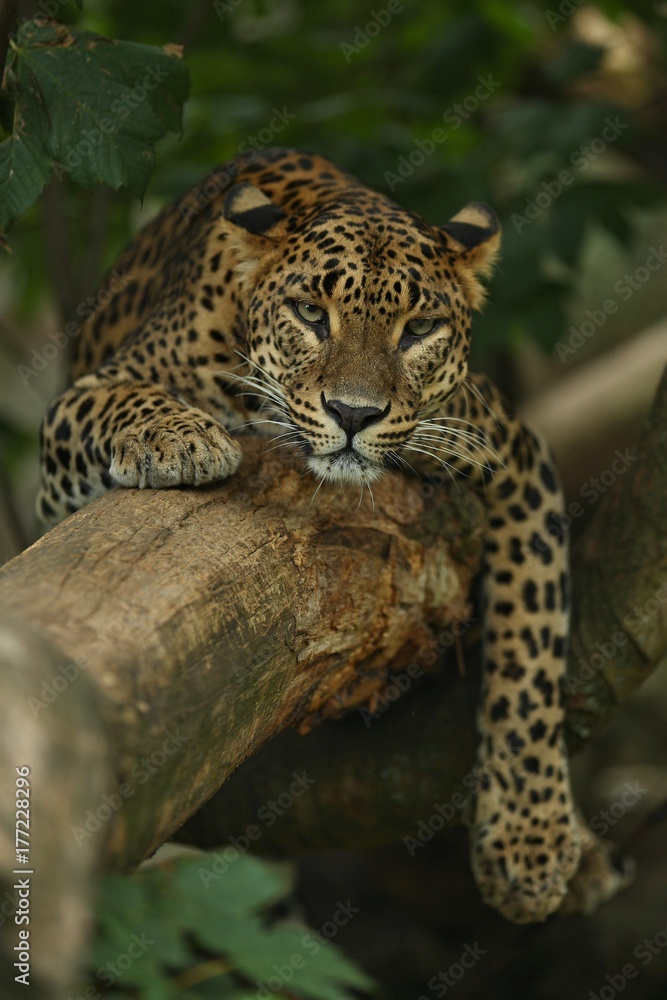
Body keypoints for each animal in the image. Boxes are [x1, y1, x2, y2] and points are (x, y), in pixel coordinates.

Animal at [37, 147, 632, 923]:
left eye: (418, 329)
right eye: (311, 314)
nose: (353, 413)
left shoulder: (513, 454)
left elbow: (530, 651)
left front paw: (529, 845)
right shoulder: (79, 416)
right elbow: (120, 402)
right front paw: (182, 437)